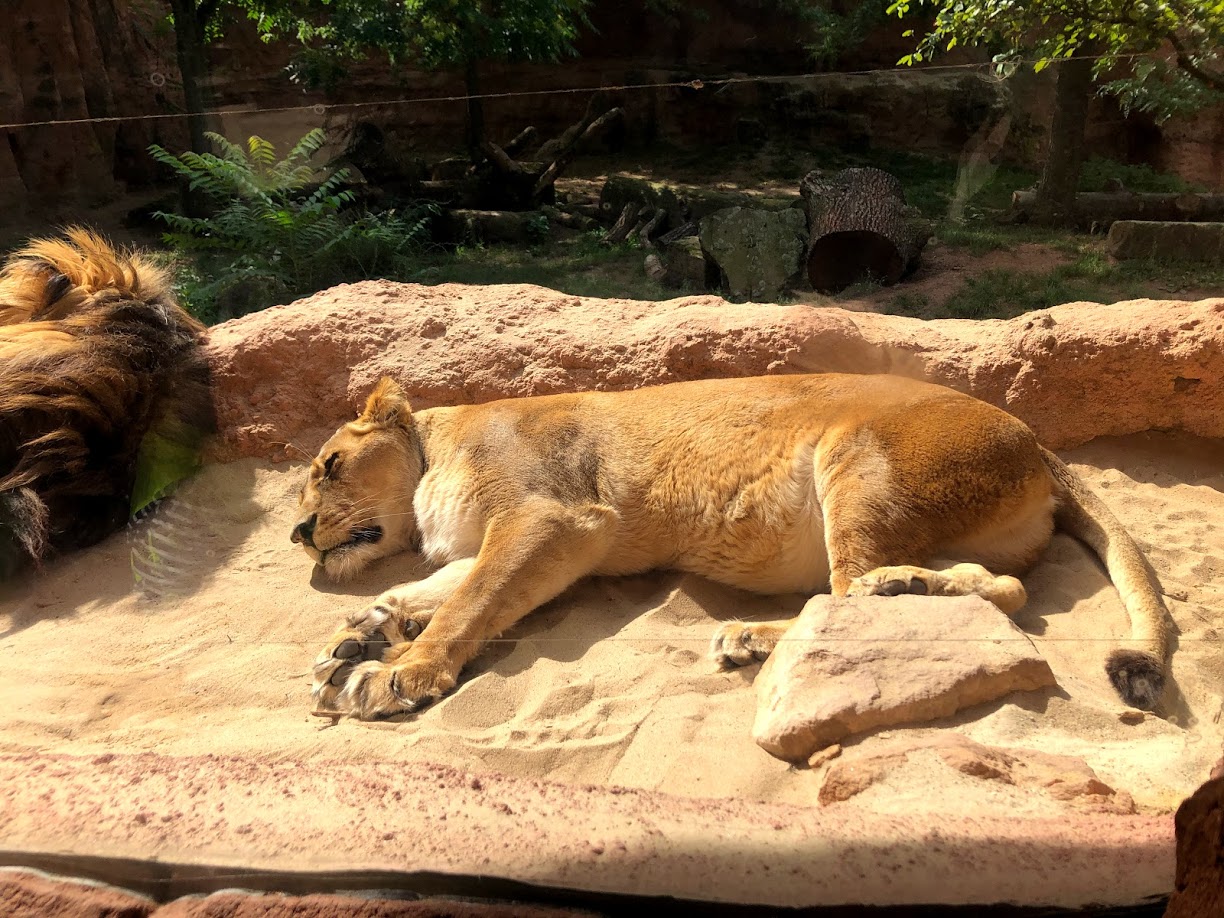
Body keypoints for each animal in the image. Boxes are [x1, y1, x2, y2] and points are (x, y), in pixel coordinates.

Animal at [295, 373, 1173, 721]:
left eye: (328, 466)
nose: (300, 534)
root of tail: (1036, 440)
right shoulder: (522, 539)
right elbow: (425, 591)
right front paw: (357, 635)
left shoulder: (556, 519)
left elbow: (470, 602)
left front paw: (396, 673)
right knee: (1004, 589)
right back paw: (907, 590)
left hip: (861, 460)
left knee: (847, 596)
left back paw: (765, 631)